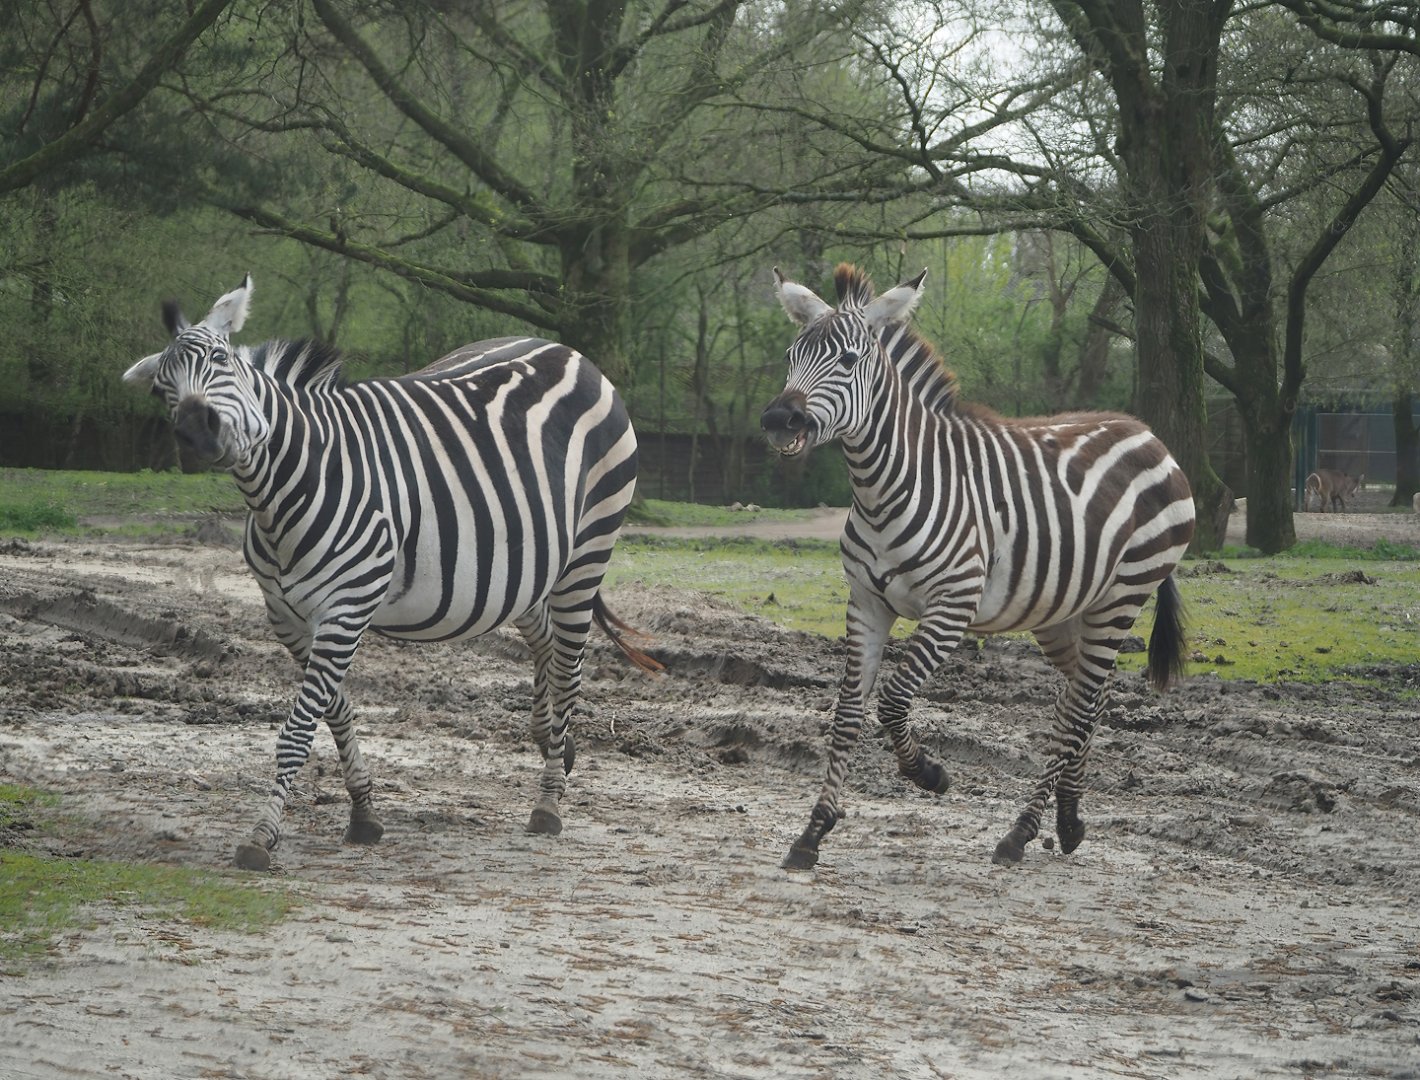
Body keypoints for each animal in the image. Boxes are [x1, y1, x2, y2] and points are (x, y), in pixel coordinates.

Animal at [124, 275, 660, 870]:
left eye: (220, 359)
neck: (285, 489)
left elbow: (299, 727)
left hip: (589, 549)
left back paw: (549, 802)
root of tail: (568, 352)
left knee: (567, 664)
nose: (195, 431)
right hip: (522, 567)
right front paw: (363, 811)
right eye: (161, 389)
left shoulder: (347, 604)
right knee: (543, 639)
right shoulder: (288, 617)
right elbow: (333, 709)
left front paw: (261, 835)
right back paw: (552, 742)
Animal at [760, 264, 1195, 870]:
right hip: (1064, 610)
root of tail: (1147, 433)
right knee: (1087, 698)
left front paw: (929, 774)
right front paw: (812, 832)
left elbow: (893, 699)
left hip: (1123, 596)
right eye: (789, 354)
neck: (882, 488)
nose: (779, 420)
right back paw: (1068, 821)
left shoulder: (953, 607)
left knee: (1080, 707)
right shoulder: (865, 603)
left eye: (847, 360)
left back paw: (1021, 832)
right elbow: (847, 713)